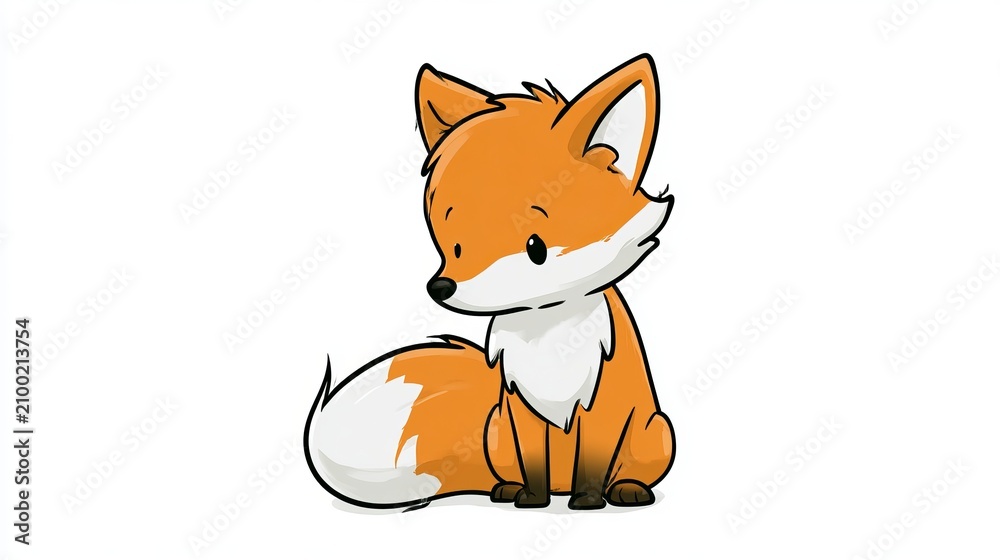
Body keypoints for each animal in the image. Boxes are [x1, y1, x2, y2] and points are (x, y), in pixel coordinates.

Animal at [304, 54, 675, 510]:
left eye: (536, 248)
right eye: (454, 245)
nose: (441, 288)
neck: (545, 329)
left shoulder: (602, 406)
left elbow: (593, 463)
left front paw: (588, 502)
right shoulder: (519, 406)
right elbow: (532, 460)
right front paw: (530, 498)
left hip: (656, 432)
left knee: (628, 470)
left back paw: (627, 489)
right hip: (496, 431)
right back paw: (510, 489)